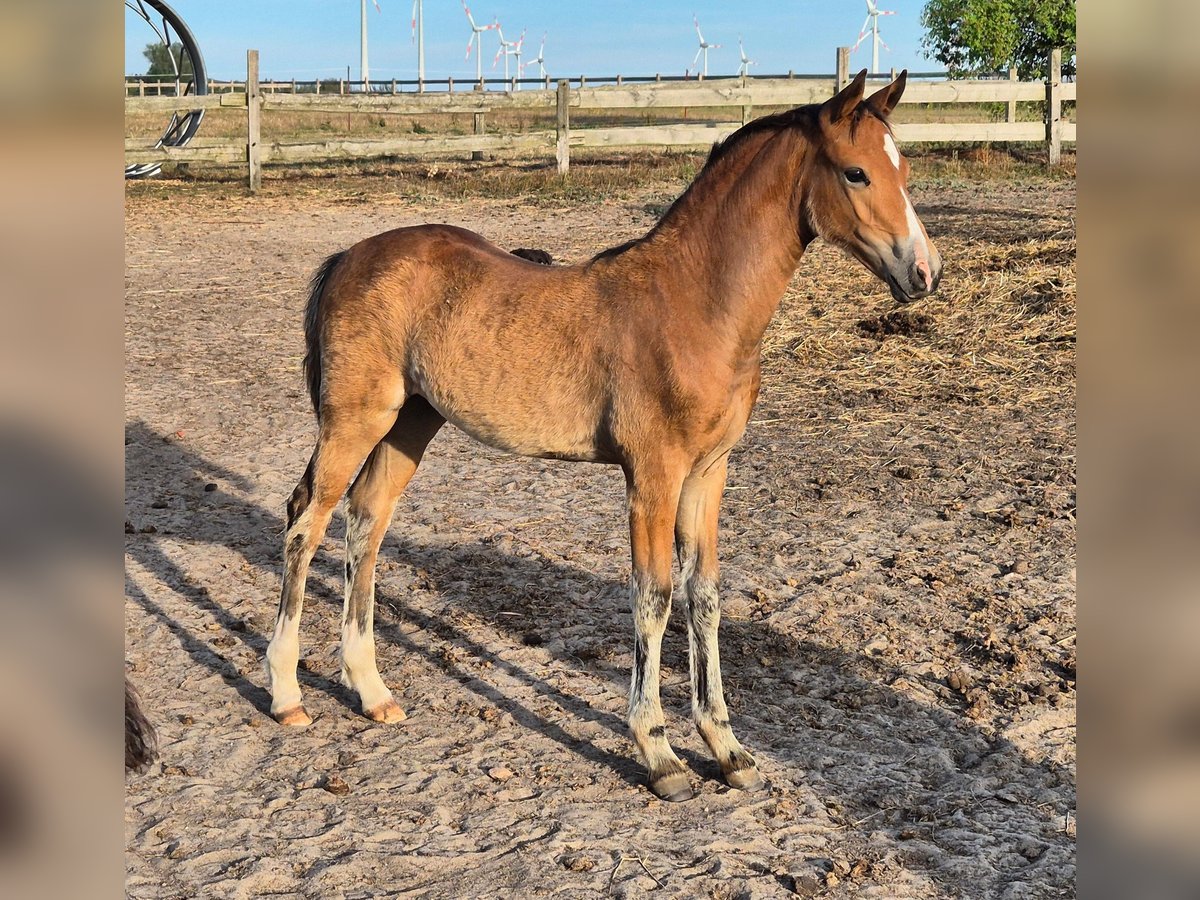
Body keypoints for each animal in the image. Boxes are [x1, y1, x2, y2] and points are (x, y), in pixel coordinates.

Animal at [267, 72, 940, 801]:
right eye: (855, 172)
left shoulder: (709, 472)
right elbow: (654, 598)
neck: (694, 302)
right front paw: (660, 754)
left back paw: (372, 692)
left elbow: (705, 596)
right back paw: (287, 694)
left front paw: (727, 748)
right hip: (355, 419)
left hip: (411, 422)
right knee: (305, 522)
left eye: (903, 169)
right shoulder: (652, 475)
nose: (924, 273)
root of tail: (348, 257)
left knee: (366, 523)